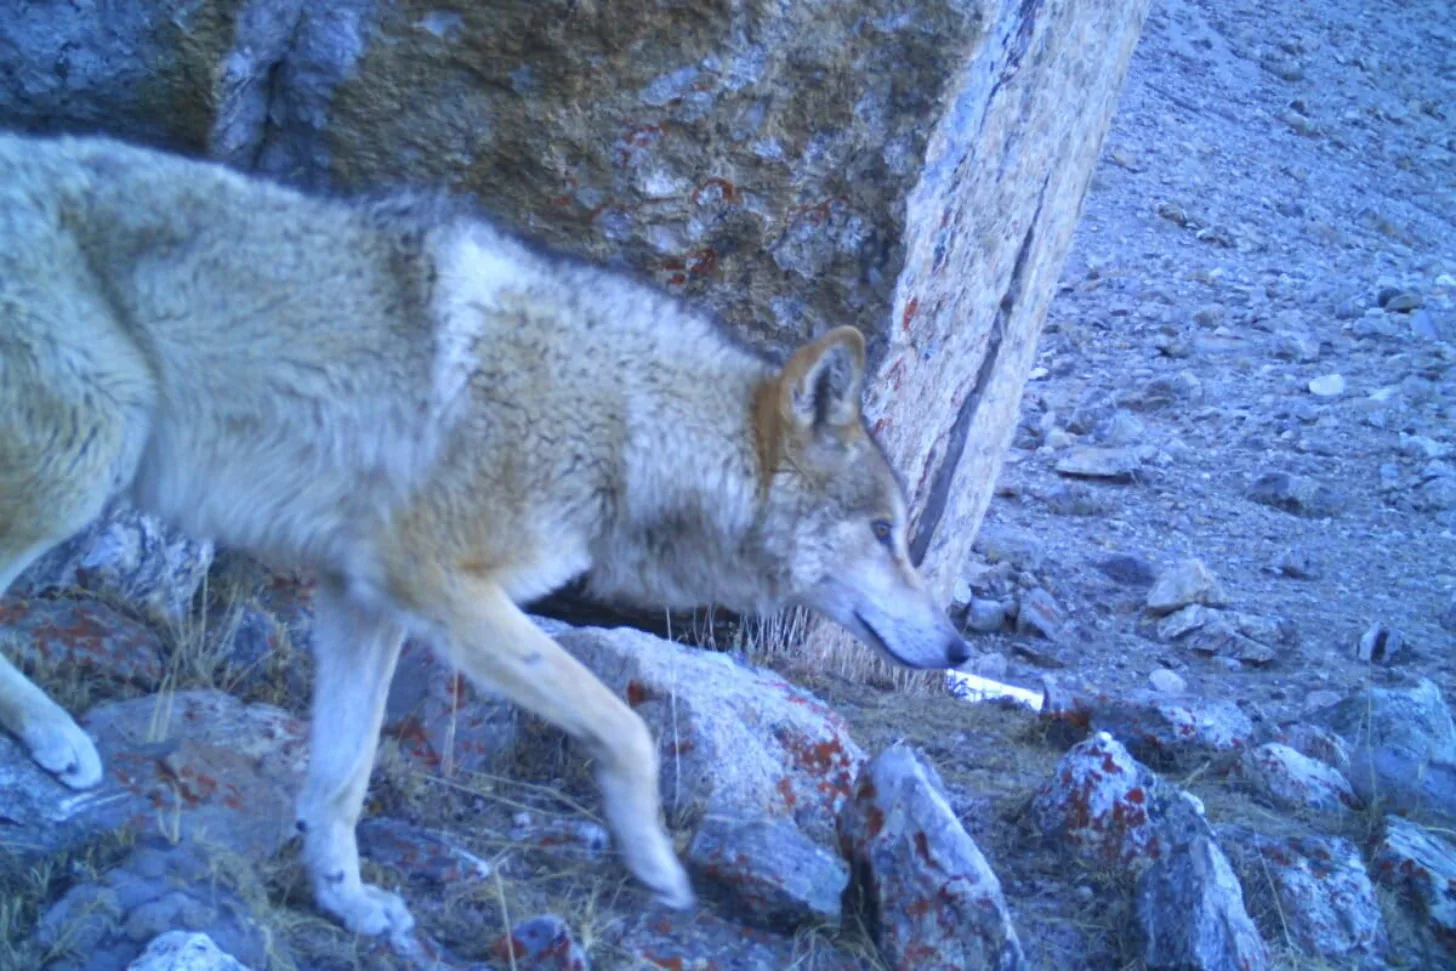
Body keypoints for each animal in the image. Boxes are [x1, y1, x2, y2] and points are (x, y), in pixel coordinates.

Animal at [0, 131, 971, 934]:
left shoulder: (365, 598)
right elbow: (626, 723)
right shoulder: (438, 582)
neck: (623, 418)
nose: (961, 647)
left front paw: (347, 900)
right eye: (885, 531)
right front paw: (655, 861)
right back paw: (58, 737)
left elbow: (343, 776)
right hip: (91, 452)